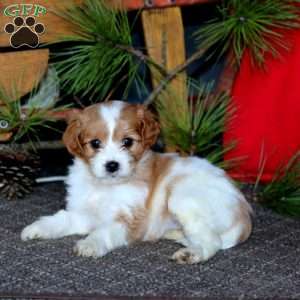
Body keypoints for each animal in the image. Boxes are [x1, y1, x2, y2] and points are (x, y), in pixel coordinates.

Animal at [19, 101, 252, 264]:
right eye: (95, 143)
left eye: (127, 142)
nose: (112, 165)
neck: (105, 187)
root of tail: (244, 214)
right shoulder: (84, 213)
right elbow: (62, 219)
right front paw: (37, 228)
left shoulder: (129, 219)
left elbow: (103, 232)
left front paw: (90, 244)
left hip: (182, 198)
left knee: (212, 241)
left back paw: (191, 253)